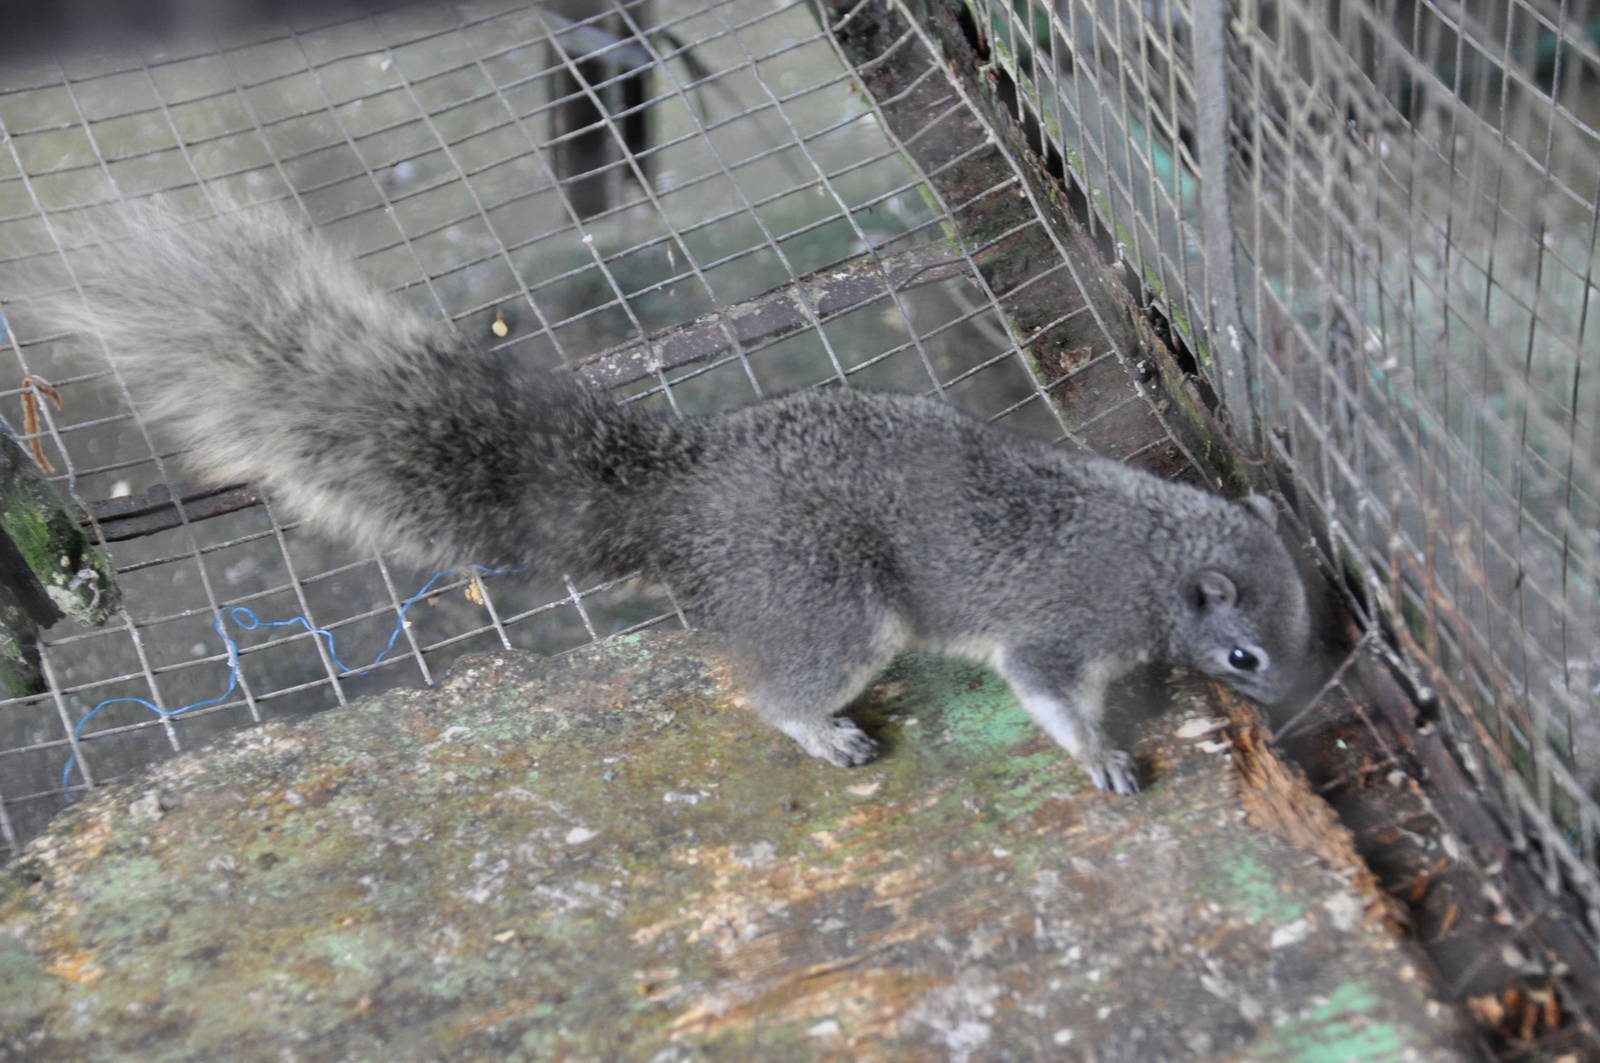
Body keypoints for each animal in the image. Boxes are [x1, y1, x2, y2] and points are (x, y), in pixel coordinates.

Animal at [57, 202, 1311, 795]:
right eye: (1243, 655)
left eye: (1316, 614)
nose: (1297, 691)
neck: (1153, 546)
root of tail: (685, 496)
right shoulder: (1058, 629)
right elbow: (1047, 692)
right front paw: (1099, 753)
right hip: (831, 607)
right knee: (767, 693)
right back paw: (822, 730)